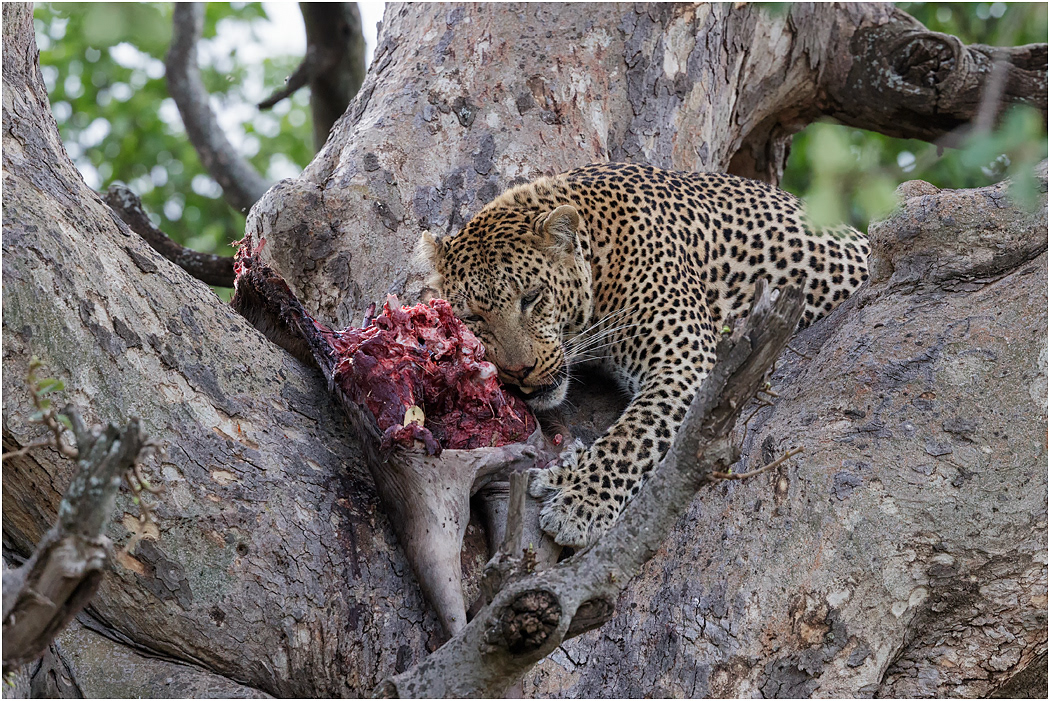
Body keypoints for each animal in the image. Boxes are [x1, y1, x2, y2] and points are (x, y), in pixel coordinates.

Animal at [418, 162, 869, 548]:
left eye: (532, 297)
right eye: (473, 317)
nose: (519, 371)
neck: (600, 254)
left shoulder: (687, 360)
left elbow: (632, 436)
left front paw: (579, 499)